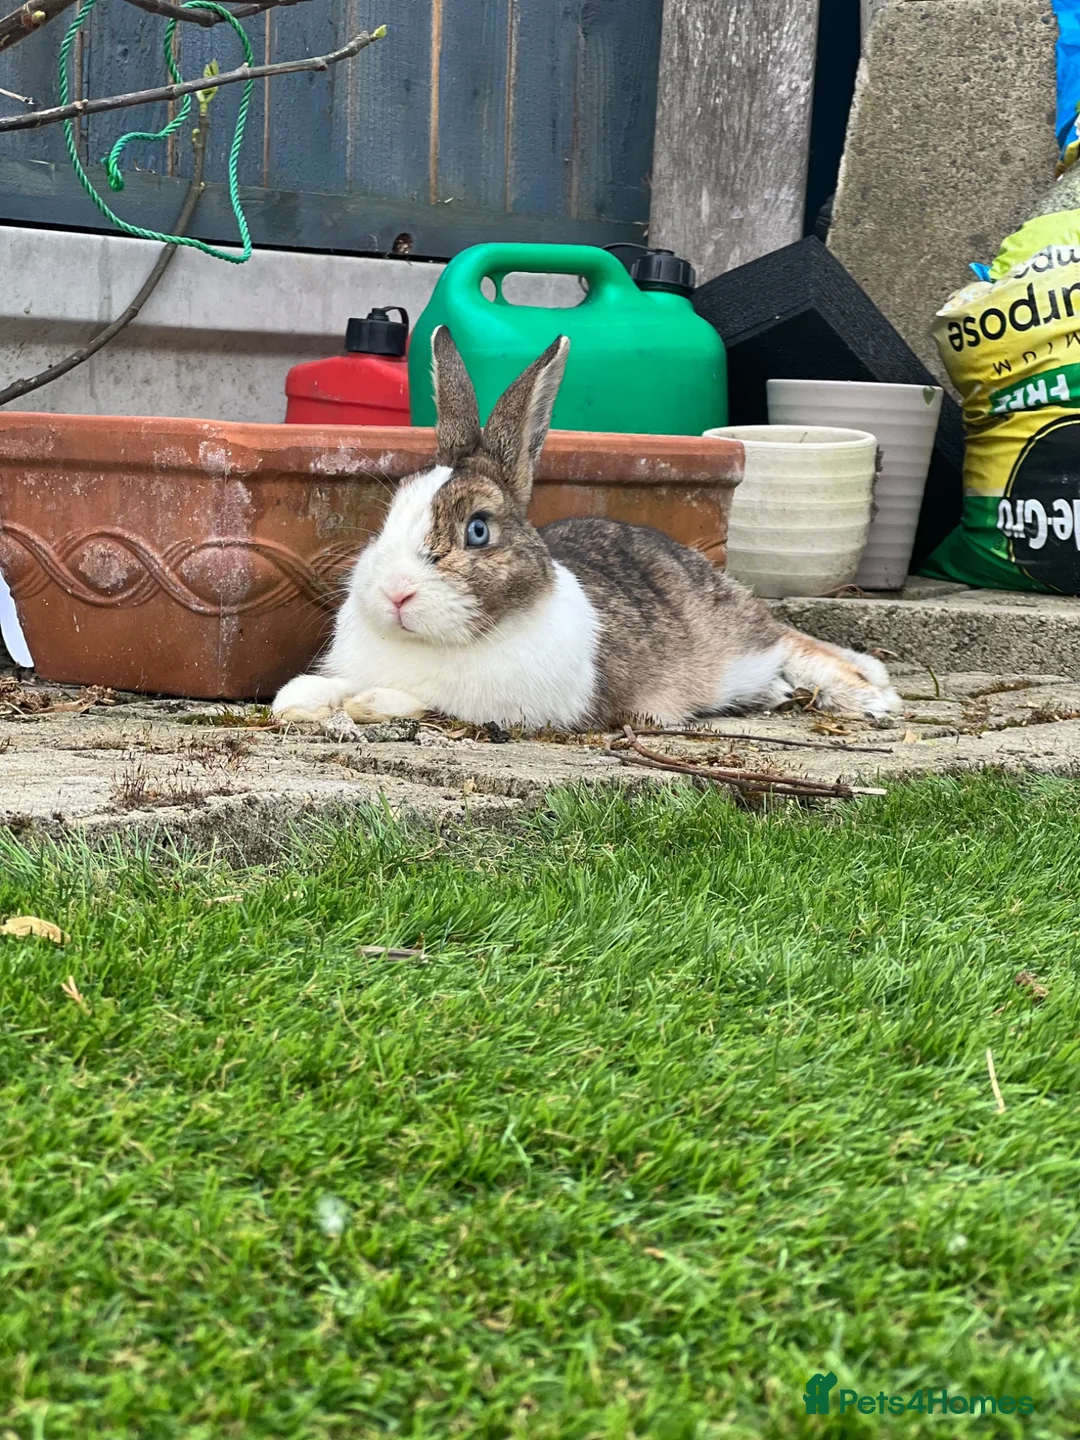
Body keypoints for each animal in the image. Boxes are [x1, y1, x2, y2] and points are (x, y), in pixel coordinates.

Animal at [272, 327, 901, 731]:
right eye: (389, 516)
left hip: (740, 641)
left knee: (794, 644)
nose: (395, 593)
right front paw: (297, 701)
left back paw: (871, 696)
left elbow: (413, 699)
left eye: (478, 531)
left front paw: (368, 703)